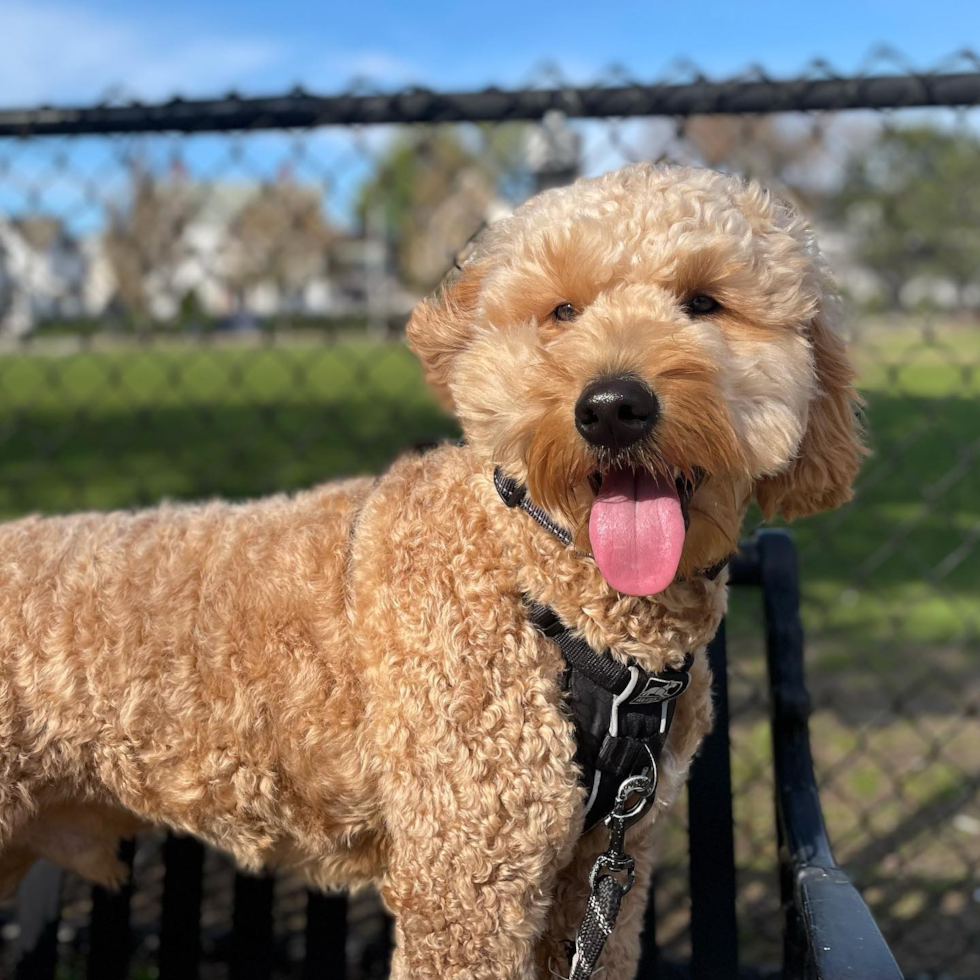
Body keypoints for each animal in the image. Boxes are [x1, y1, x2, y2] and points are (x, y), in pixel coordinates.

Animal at [0, 165, 856, 980]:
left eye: (705, 302)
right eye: (562, 312)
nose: (613, 406)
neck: (541, 588)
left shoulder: (612, 863)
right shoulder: (468, 878)